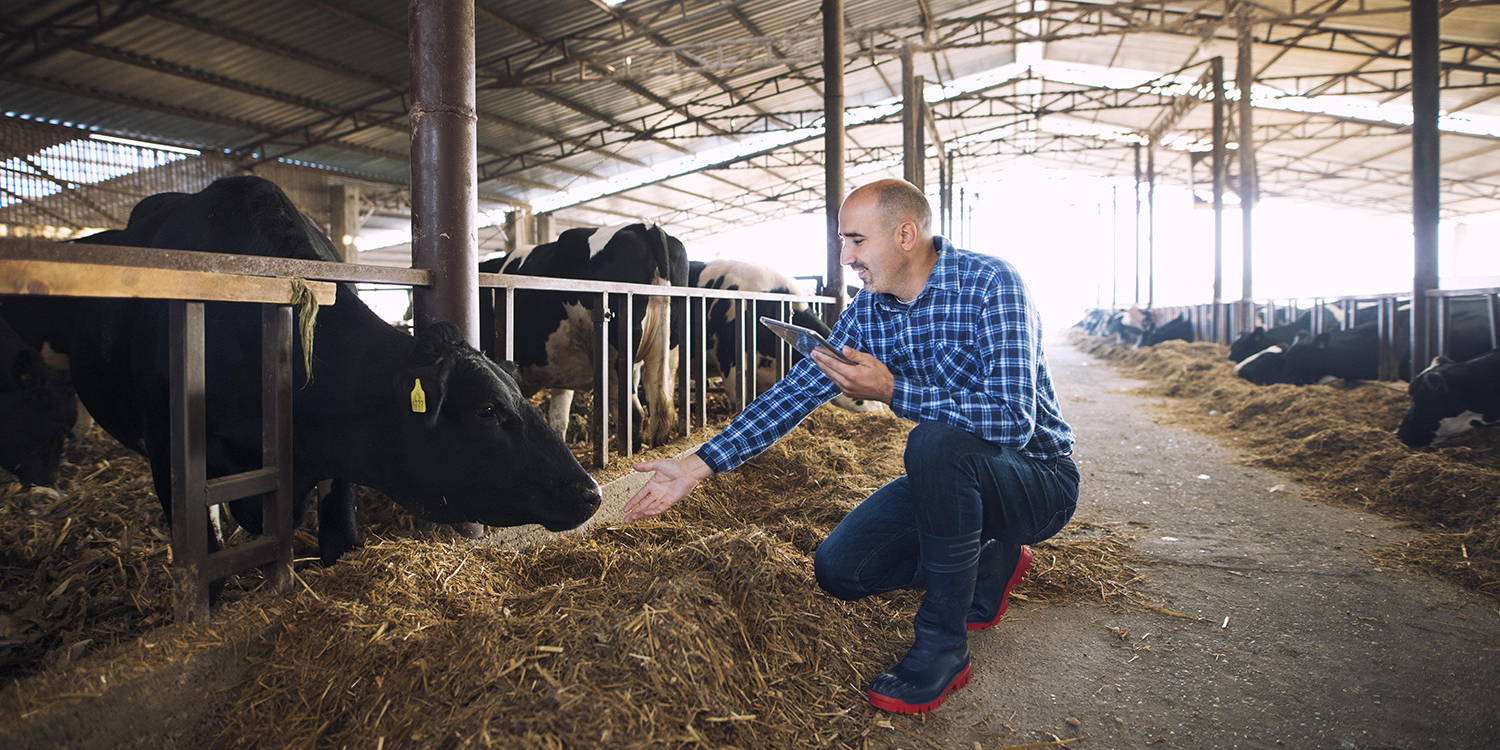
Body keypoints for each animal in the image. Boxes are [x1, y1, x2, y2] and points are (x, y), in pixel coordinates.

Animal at [477, 222, 687, 444]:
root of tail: (645, 226)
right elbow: (559, 419)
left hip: (615, 359)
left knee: (633, 415)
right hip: (666, 351)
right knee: (658, 410)